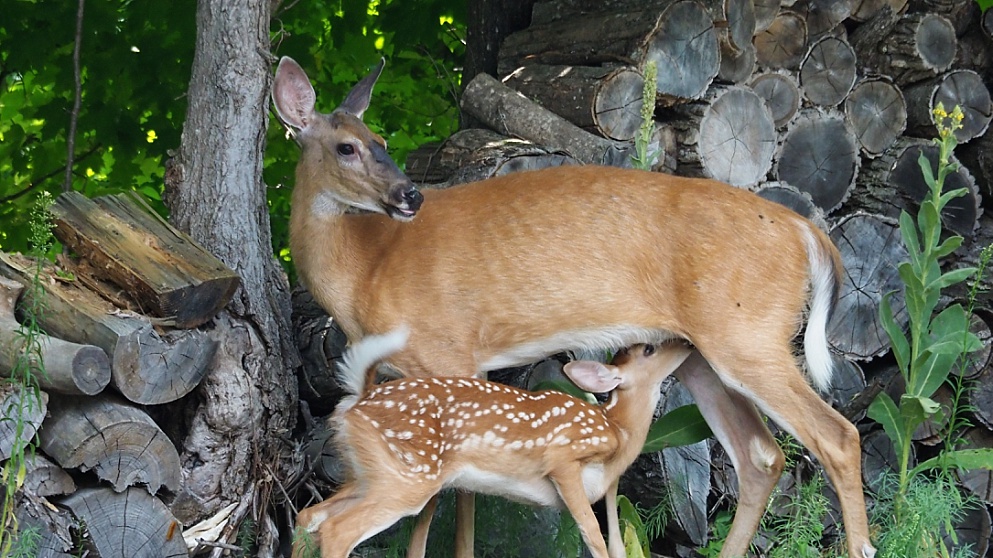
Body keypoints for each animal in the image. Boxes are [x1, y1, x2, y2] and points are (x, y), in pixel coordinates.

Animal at [294, 328, 692, 558]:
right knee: (337, 530)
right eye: (649, 350)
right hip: (411, 477)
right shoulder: (562, 456)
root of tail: (358, 398)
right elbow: (593, 537)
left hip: (368, 472)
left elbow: (611, 542)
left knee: (309, 516)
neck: (618, 429)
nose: (687, 340)